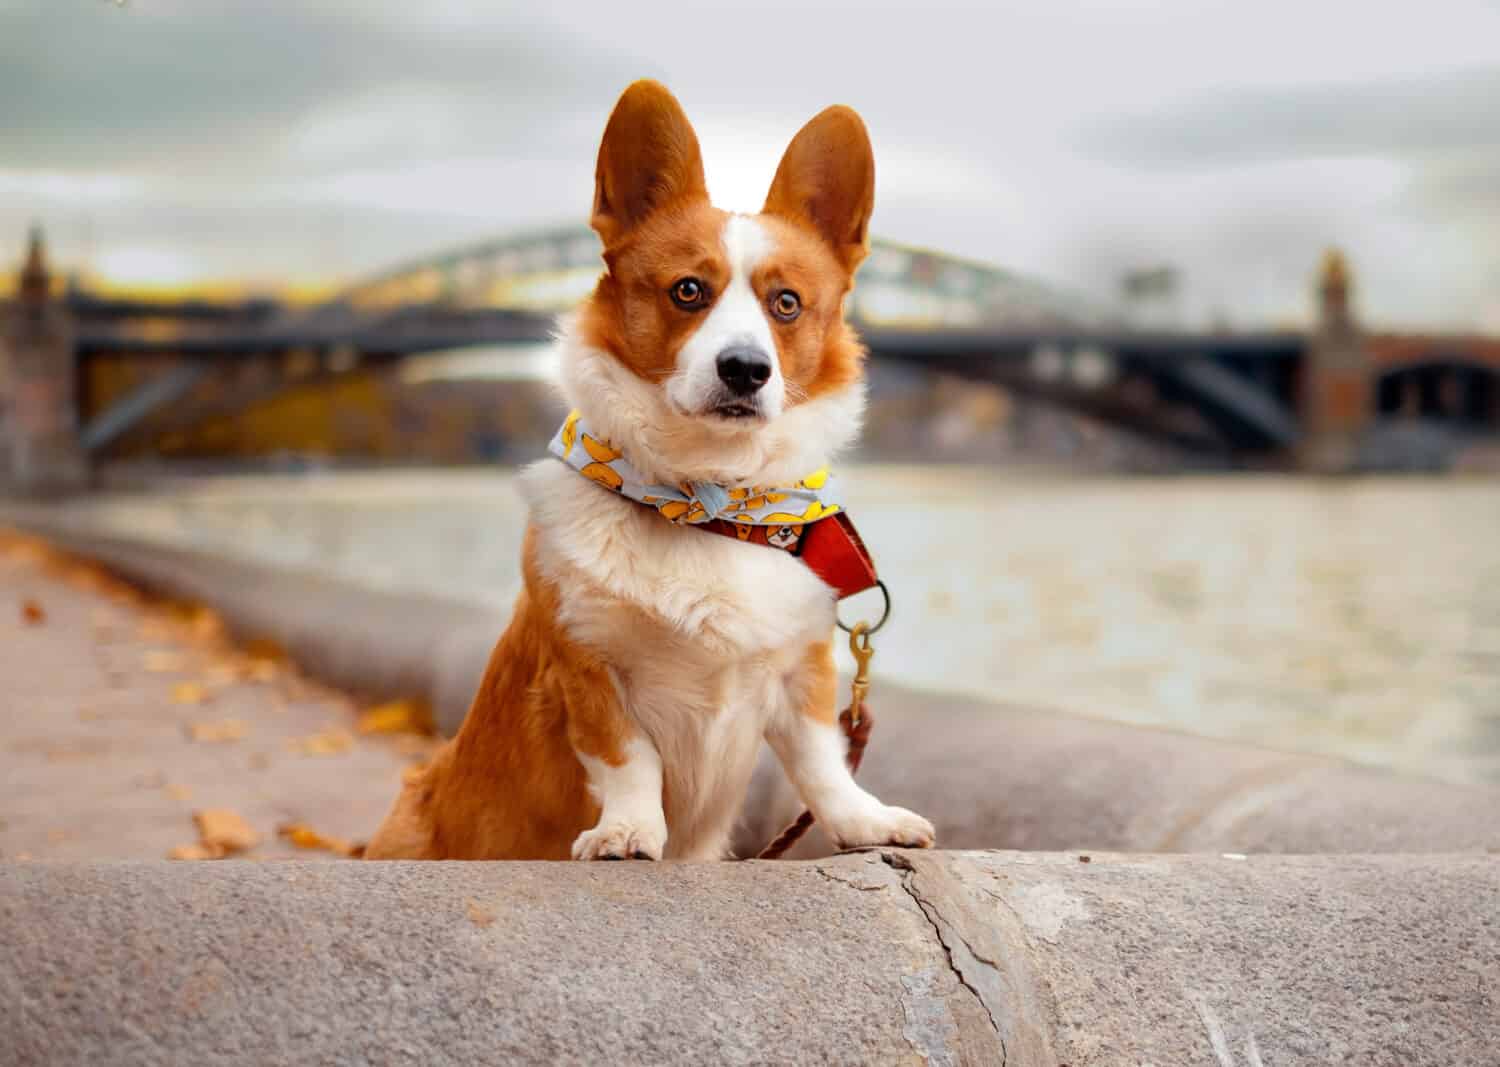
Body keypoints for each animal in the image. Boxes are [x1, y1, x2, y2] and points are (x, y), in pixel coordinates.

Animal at [366, 81, 924, 870]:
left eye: (786, 303)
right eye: (688, 290)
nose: (746, 369)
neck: (707, 501)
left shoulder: (803, 669)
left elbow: (822, 760)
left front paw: (865, 821)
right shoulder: (589, 666)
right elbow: (631, 760)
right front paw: (627, 831)